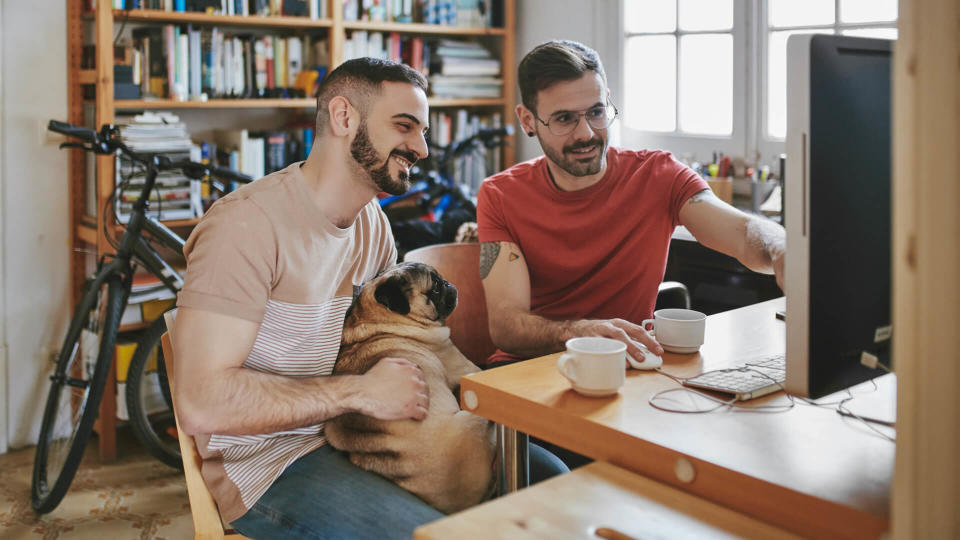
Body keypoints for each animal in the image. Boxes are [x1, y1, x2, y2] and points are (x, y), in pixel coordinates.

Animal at [328, 262, 498, 516]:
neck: (380, 320)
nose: (448, 283)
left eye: (441, 281)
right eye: (435, 287)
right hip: (473, 419)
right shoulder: (466, 367)